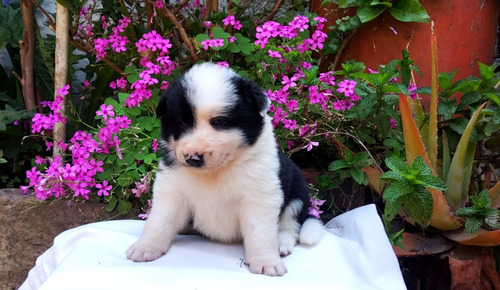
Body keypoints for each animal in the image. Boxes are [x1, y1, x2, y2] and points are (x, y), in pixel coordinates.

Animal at [126, 62, 324, 276]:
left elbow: (260, 231)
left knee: (291, 224)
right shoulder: (172, 190)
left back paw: (281, 244)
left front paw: (266, 262)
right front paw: (145, 248)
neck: (216, 172)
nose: (192, 158)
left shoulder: (260, 196)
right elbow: (159, 221)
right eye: (180, 123)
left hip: (298, 192)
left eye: (219, 122)